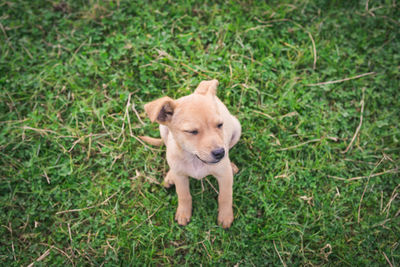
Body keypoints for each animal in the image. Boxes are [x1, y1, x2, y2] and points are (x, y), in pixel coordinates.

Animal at [141, 79, 241, 228]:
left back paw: (232, 165)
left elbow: (225, 196)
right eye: (192, 131)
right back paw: (170, 175)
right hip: (162, 129)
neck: (195, 159)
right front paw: (183, 213)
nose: (220, 153)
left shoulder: (224, 176)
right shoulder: (181, 178)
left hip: (237, 127)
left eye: (220, 125)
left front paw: (225, 216)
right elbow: (183, 195)